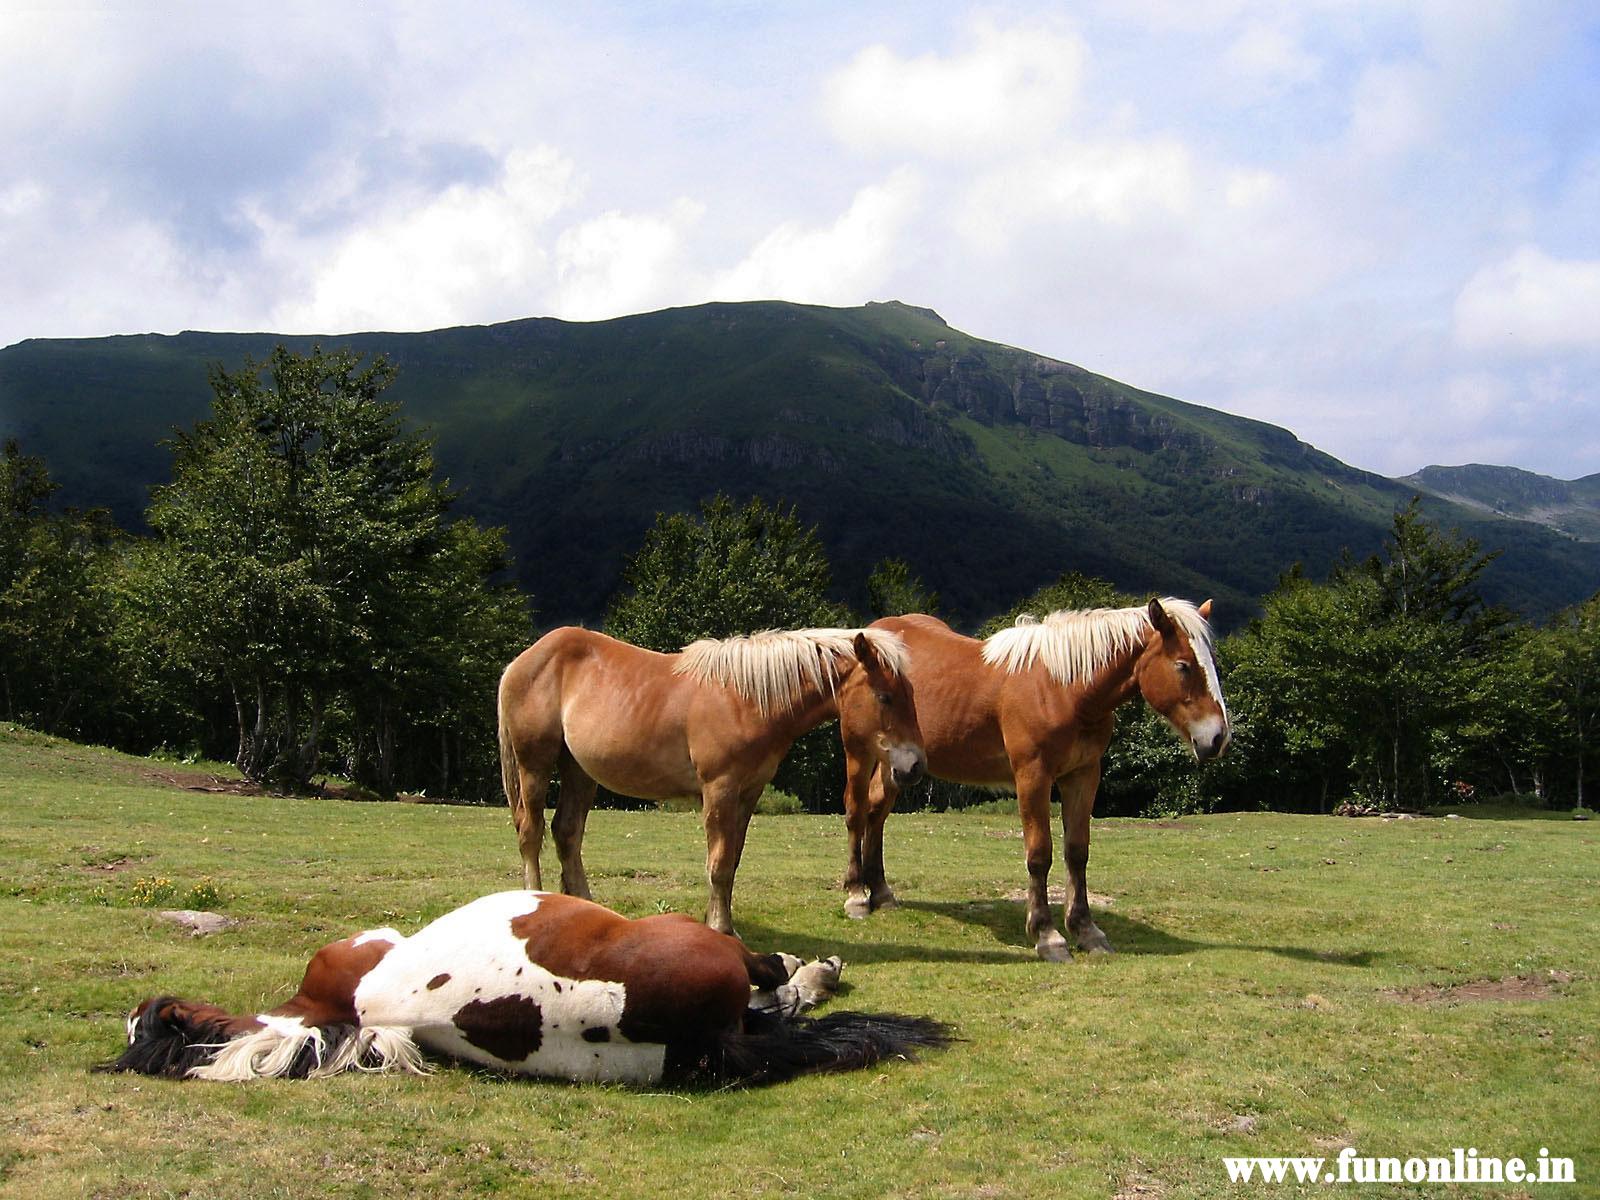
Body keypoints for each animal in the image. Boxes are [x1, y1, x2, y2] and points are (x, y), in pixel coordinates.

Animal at [497, 626, 924, 936]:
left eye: (911, 692)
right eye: (884, 696)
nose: (915, 766)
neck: (746, 700)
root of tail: (523, 661)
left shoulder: (748, 793)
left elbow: (731, 860)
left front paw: (720, 921)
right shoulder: (720, 788)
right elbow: (717, 863)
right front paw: (721, 928)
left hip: (579, 771)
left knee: (567, 832)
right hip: (535, 765)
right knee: (531, 832)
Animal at [839, 598, 1230, 961]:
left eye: (1211, 663)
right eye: (1183, 665)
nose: (1217, 738)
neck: (1063, 689)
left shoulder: (1083, 775)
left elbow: (1077, 851)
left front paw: (1086, 930)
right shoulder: (1033, 776)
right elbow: (1040, 854)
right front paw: (1047, 935)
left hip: (898, 765)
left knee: (876, 812)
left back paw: (881, 893)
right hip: (860, 753)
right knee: (857, 812)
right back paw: (857, 894)